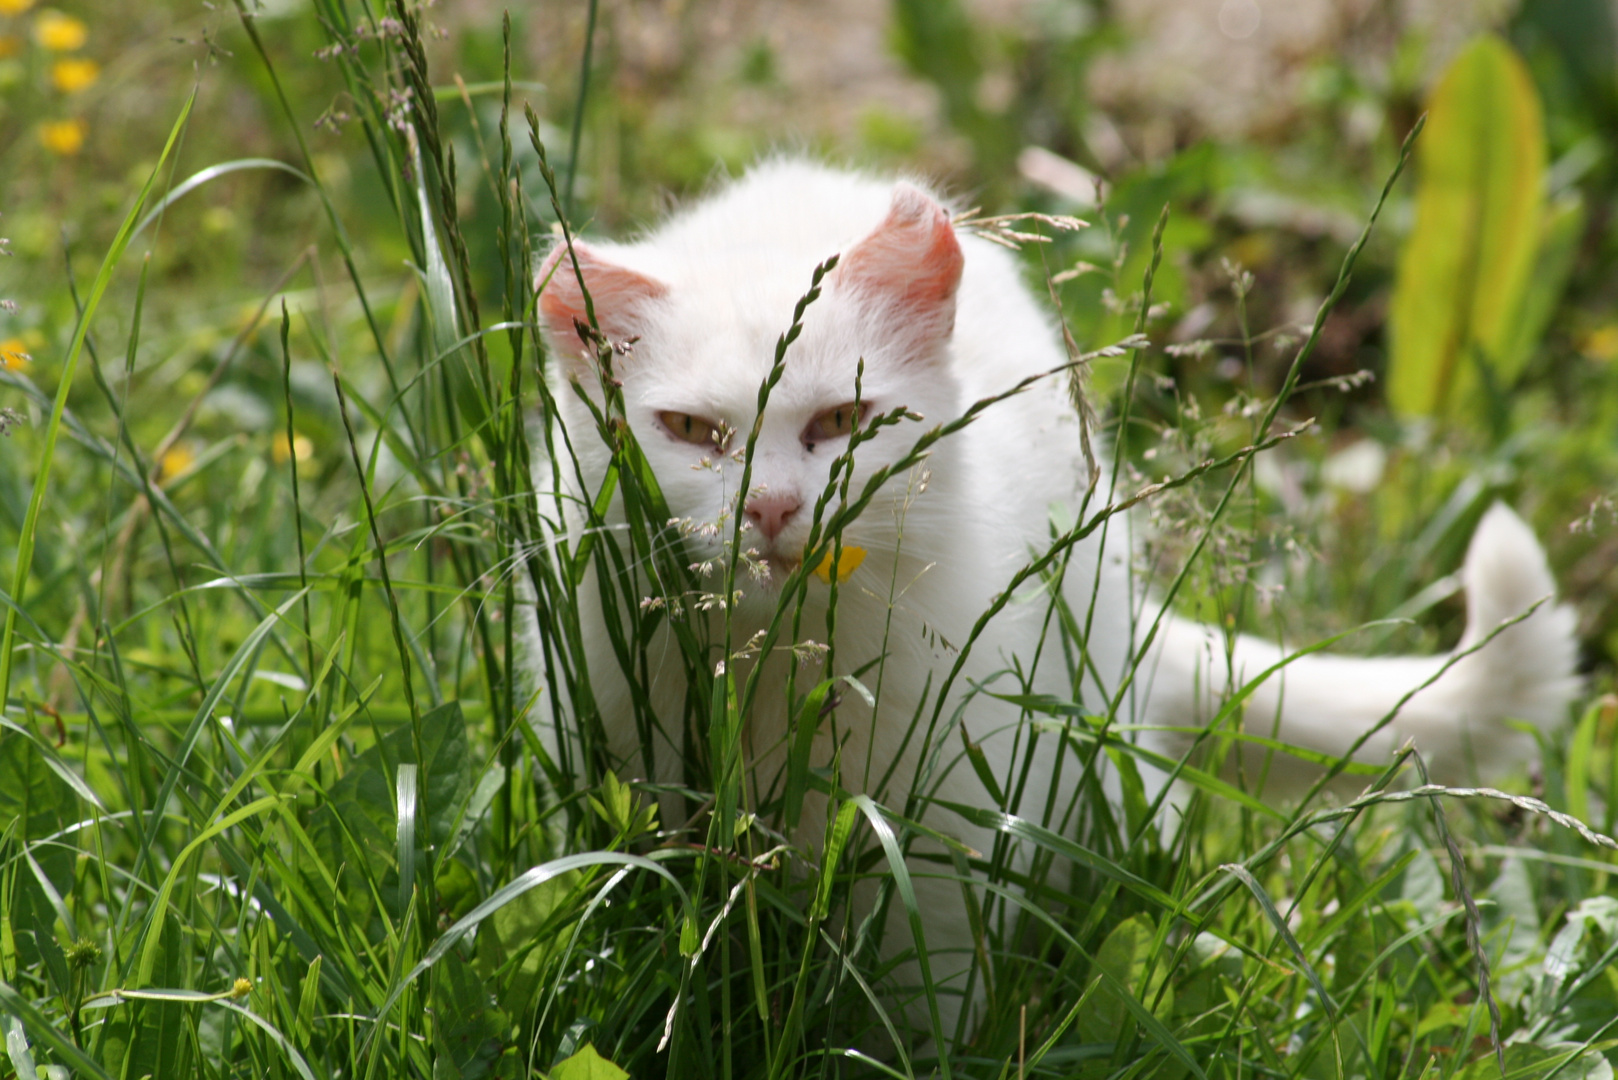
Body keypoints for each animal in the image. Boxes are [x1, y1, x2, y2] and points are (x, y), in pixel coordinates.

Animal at [527, 160, 1579, 1049]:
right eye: (688, 431)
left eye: (841, 421)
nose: (773, 508)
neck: (770, 665)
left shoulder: (938, 829)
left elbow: (922, 998)